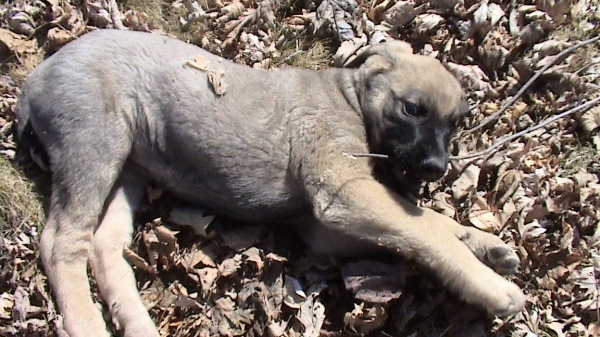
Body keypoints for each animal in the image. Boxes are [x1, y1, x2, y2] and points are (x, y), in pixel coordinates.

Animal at [15, 29, 524, 336]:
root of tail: (34, 77)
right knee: (62, 242)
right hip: (94, 144)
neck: (351, 97)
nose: (437, 168)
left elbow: (424, 220)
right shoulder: (342, 193)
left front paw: (484, 243)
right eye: (412, 109)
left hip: (128, 171)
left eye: (455, 124)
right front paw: (490, 284)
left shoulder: (326, 228)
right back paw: (87, 323)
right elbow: (423, 225)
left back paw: (136, 323)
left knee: (104, 245)